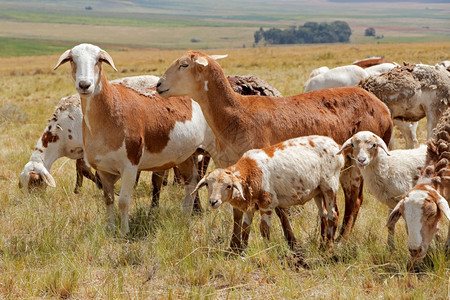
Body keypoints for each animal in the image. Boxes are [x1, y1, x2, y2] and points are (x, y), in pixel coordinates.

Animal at [54, 43, 218, 233]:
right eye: (72, 60)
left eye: (99, 60)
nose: (84, 85)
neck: (110, 110)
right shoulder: (103, 169)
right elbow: (108, 200)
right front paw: (110, 229)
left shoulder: (130, 167)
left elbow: (123, 202)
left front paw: (125, 232)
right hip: (186, 155)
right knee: (192, 182)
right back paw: (185, 217)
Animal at [156, 49, 394, 251]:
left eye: (184, 64)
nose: (158, 85)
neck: (236, 114)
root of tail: (384, 109)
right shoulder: (232, 170)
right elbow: (237, 210)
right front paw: (234, 247)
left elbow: (278, 211)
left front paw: (290, 242)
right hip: (344, 166)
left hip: (357, 162)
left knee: (354, 201)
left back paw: (341, 240)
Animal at [192, 137, 342, 268]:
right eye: (207, 184)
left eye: (229, 186)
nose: (213, 202)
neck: (250, 171)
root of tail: (336, 145)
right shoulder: (250, 207)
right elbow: (246, 229)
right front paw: (242, 252)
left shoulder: (266, 204)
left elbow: (264, 230)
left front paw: (267, 251)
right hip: (318, 190)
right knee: (323, 214)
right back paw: (322, 246)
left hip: (330, 184)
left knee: (333, 215)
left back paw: (329, 250)